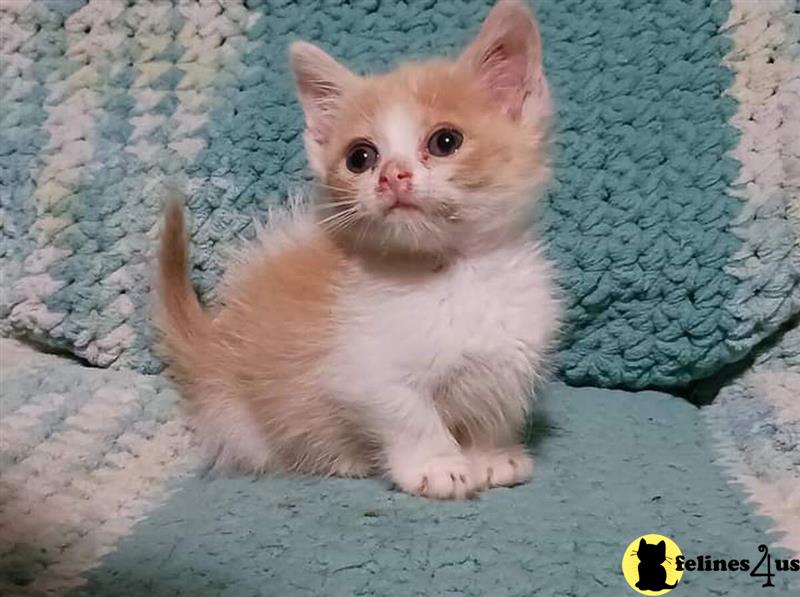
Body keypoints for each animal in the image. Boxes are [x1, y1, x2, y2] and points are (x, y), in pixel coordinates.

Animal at [155, 0, 556, 498]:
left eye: (445, 141)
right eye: (360, 157)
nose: (392, 176)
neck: (454, 274)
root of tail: (211, 347)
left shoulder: (512, 354)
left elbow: (496, 409)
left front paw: (493, 456)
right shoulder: (361, 370)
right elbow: (409, 414)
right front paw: (438, 466)